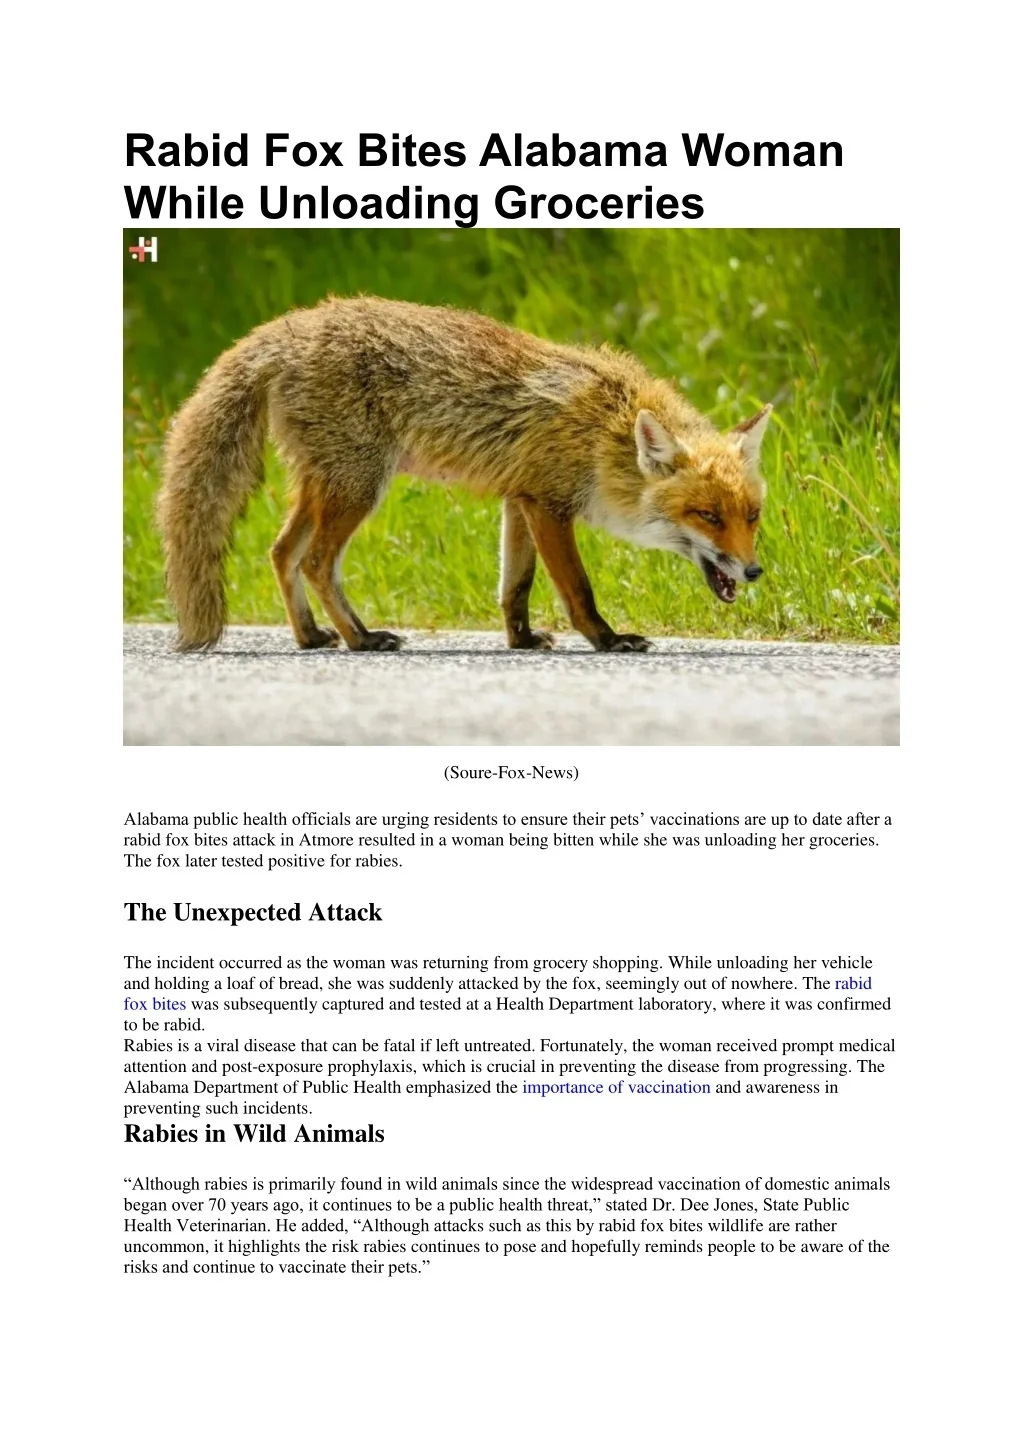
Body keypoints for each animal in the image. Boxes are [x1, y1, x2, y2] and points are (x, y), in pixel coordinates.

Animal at [157, 296, 772, 654]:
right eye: (707, 516)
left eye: (751, 516)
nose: (753, 571)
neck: (605, 431)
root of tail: (289, 327)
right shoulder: (550, 505)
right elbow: (577, 587)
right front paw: (606, 639)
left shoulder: (520, 500)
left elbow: (514, 586)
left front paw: (521, 640)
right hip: (358, 487)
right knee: (314, 561)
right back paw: (360, 639)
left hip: (327, 484)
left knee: (281, 552)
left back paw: (310, 637)